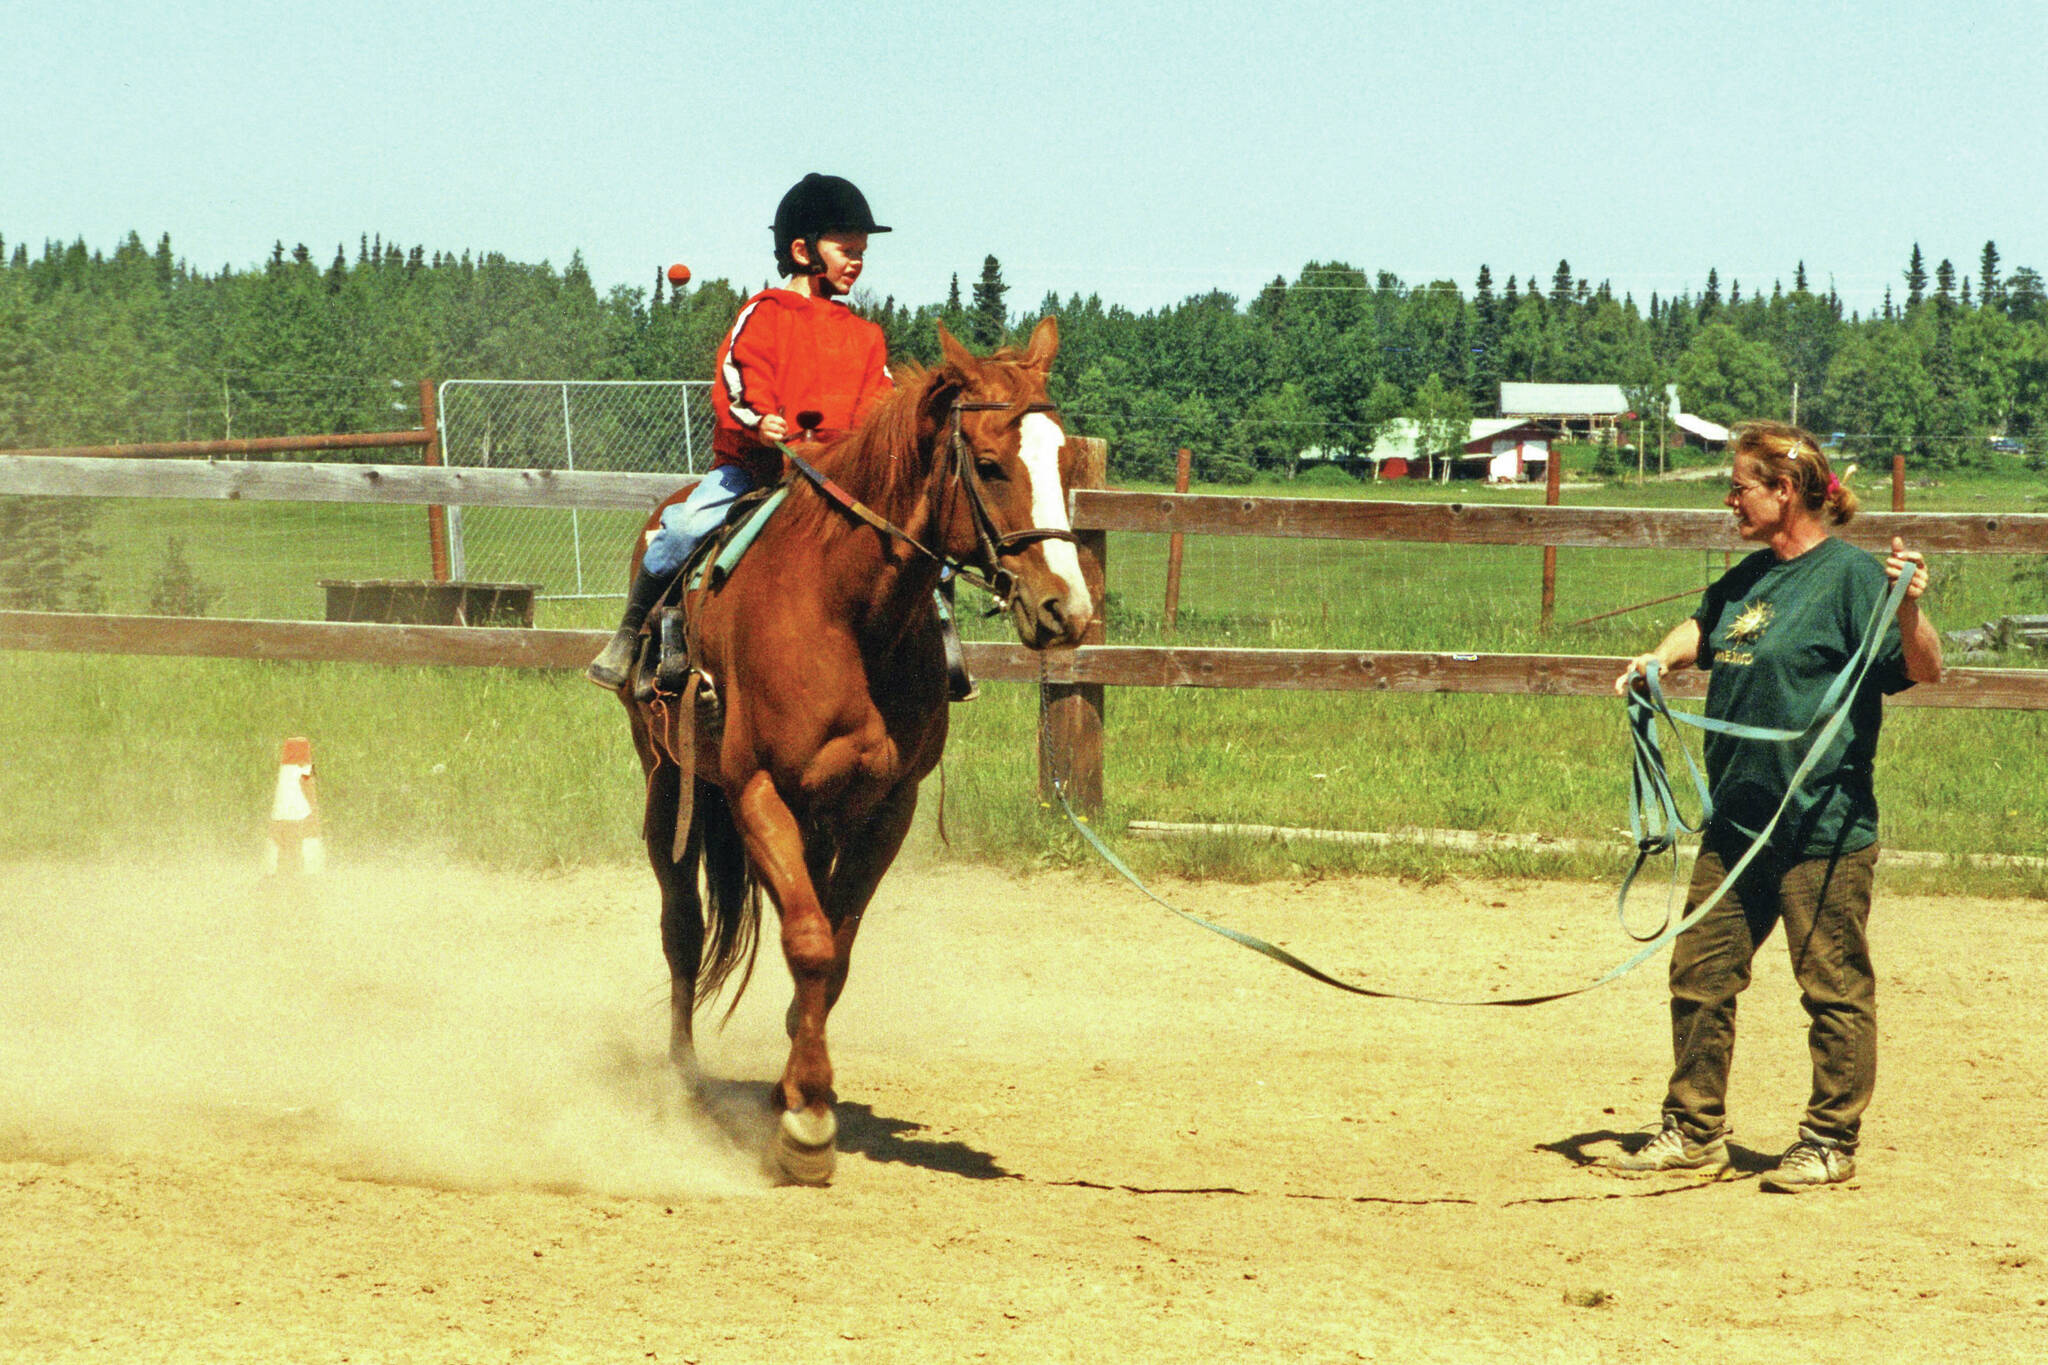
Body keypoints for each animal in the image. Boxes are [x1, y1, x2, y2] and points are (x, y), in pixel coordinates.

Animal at [614, 321, 1089, 1186]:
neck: (847, 612)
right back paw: (685, 1076)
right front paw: (806, 1126)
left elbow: (832, 951)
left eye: (1066, 462)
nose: (1066, 608)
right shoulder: (757, 791)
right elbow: (805, 941)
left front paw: (798, 1089)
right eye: (992, 462)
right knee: (683, 926)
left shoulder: (885, 807)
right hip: (669, 782)